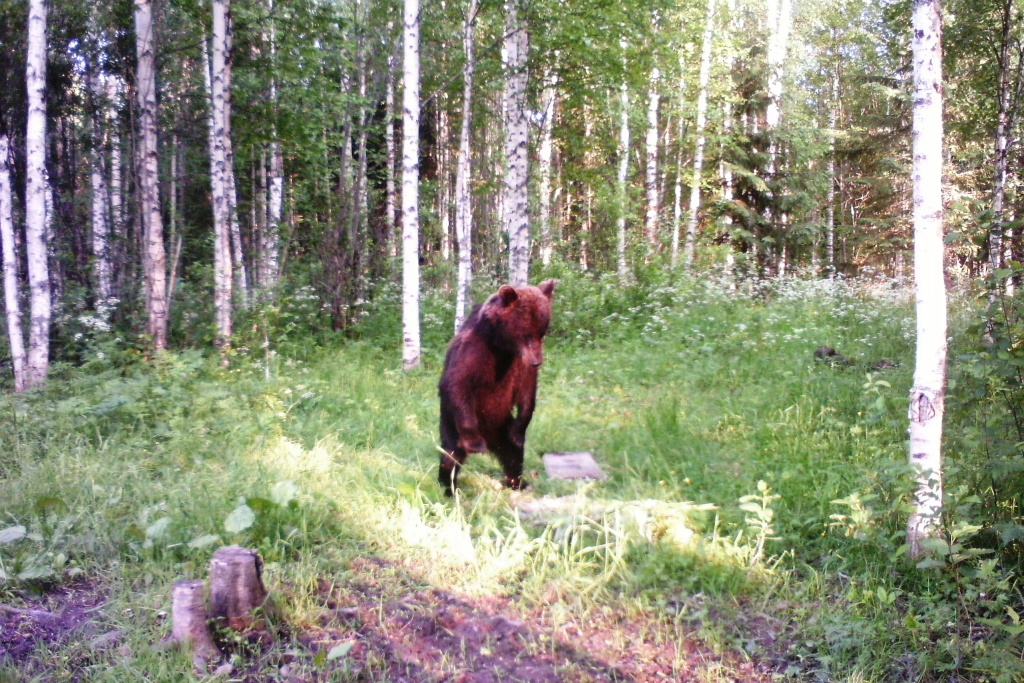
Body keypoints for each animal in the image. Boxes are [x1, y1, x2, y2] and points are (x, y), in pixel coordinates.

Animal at [438, 280, 557, 496]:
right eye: (527, 333)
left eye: (542, 332)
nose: (538, 362)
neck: (502, 346)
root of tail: (492, 439)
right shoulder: (473, 350)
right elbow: (457, 385)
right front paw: (475, 443)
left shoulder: (518, 364)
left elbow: (527, 392)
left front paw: (520, 428)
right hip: (452, 426)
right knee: (450, 455)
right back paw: (448, 486)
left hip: (502, 426)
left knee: (513, 454)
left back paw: (518, 482)